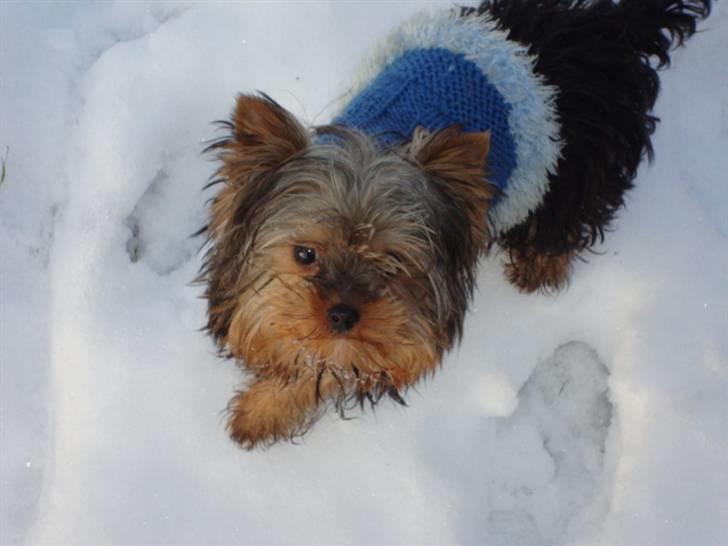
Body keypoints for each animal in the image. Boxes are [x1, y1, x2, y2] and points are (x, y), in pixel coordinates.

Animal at [199, 0, 712, 446]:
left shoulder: (407, 329)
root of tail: (604, 28)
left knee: (563, 220)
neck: (378, 137)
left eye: (392, 263)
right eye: (304, 254)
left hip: (577, 166)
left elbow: (349, 360)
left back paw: (538, 266)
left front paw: (266, 408)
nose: (342, 314)